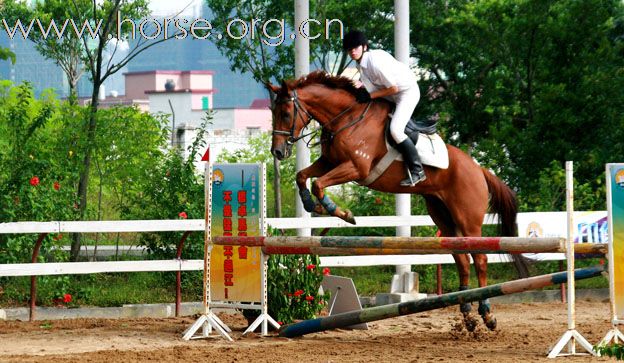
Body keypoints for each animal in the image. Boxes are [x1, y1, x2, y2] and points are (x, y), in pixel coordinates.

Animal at [266, 71, 516, 332]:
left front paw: (341, 212)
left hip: (468, 218)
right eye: (273, 112)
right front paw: (310, 204)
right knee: (462, 259)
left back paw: (487, 314)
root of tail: (479, 169)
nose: (278, 152)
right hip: (443, 216)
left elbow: (318, 184)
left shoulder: (356, 168)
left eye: (286, 113)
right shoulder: (329, 162)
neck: (346, 119)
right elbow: (302, 176)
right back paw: (467, 313)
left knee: (480, 258)